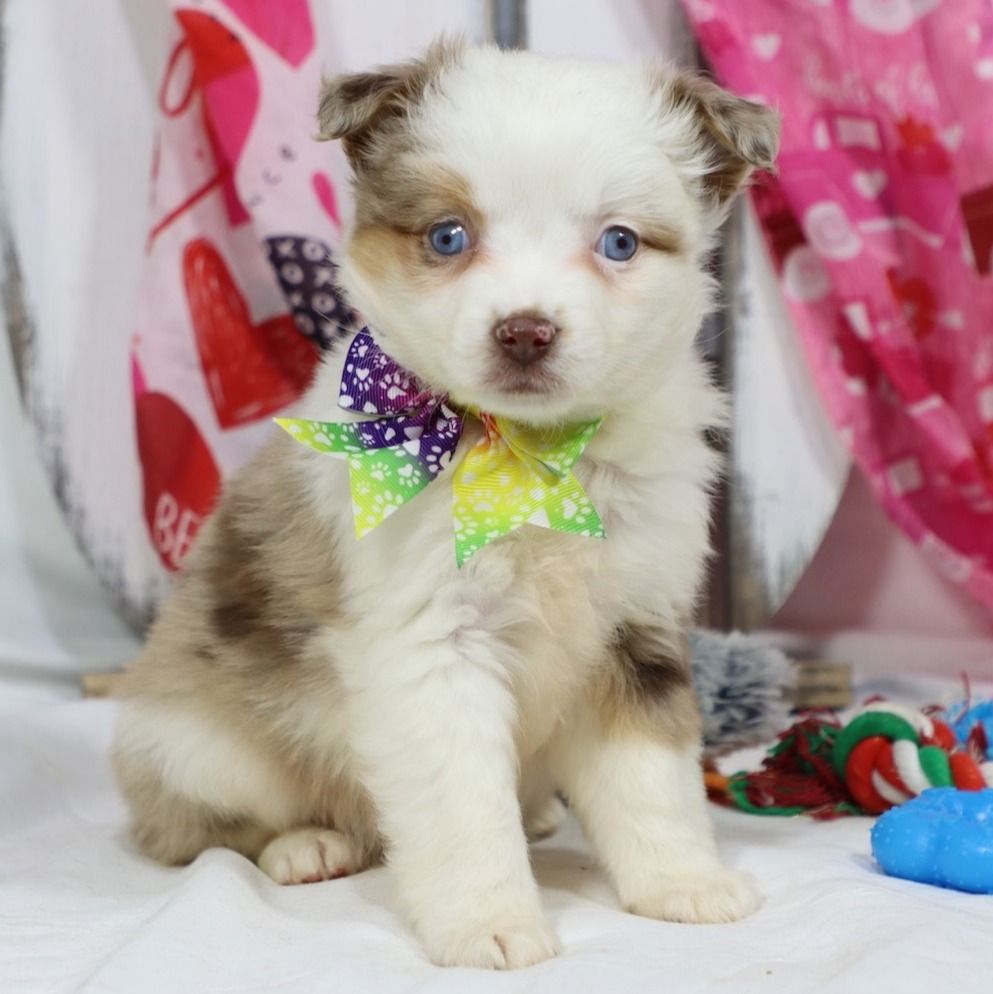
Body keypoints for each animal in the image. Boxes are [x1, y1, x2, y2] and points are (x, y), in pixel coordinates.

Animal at [112, 38, 780, 968]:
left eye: (617, 243)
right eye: (448, 236)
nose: (525, 331)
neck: (530, 454)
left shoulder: (636, 625)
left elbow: (652, 778)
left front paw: (681, 882)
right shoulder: (431, 646)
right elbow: (464, 809)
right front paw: (488, 924)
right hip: (196, 746)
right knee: (203, 829)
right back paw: (307, 844)